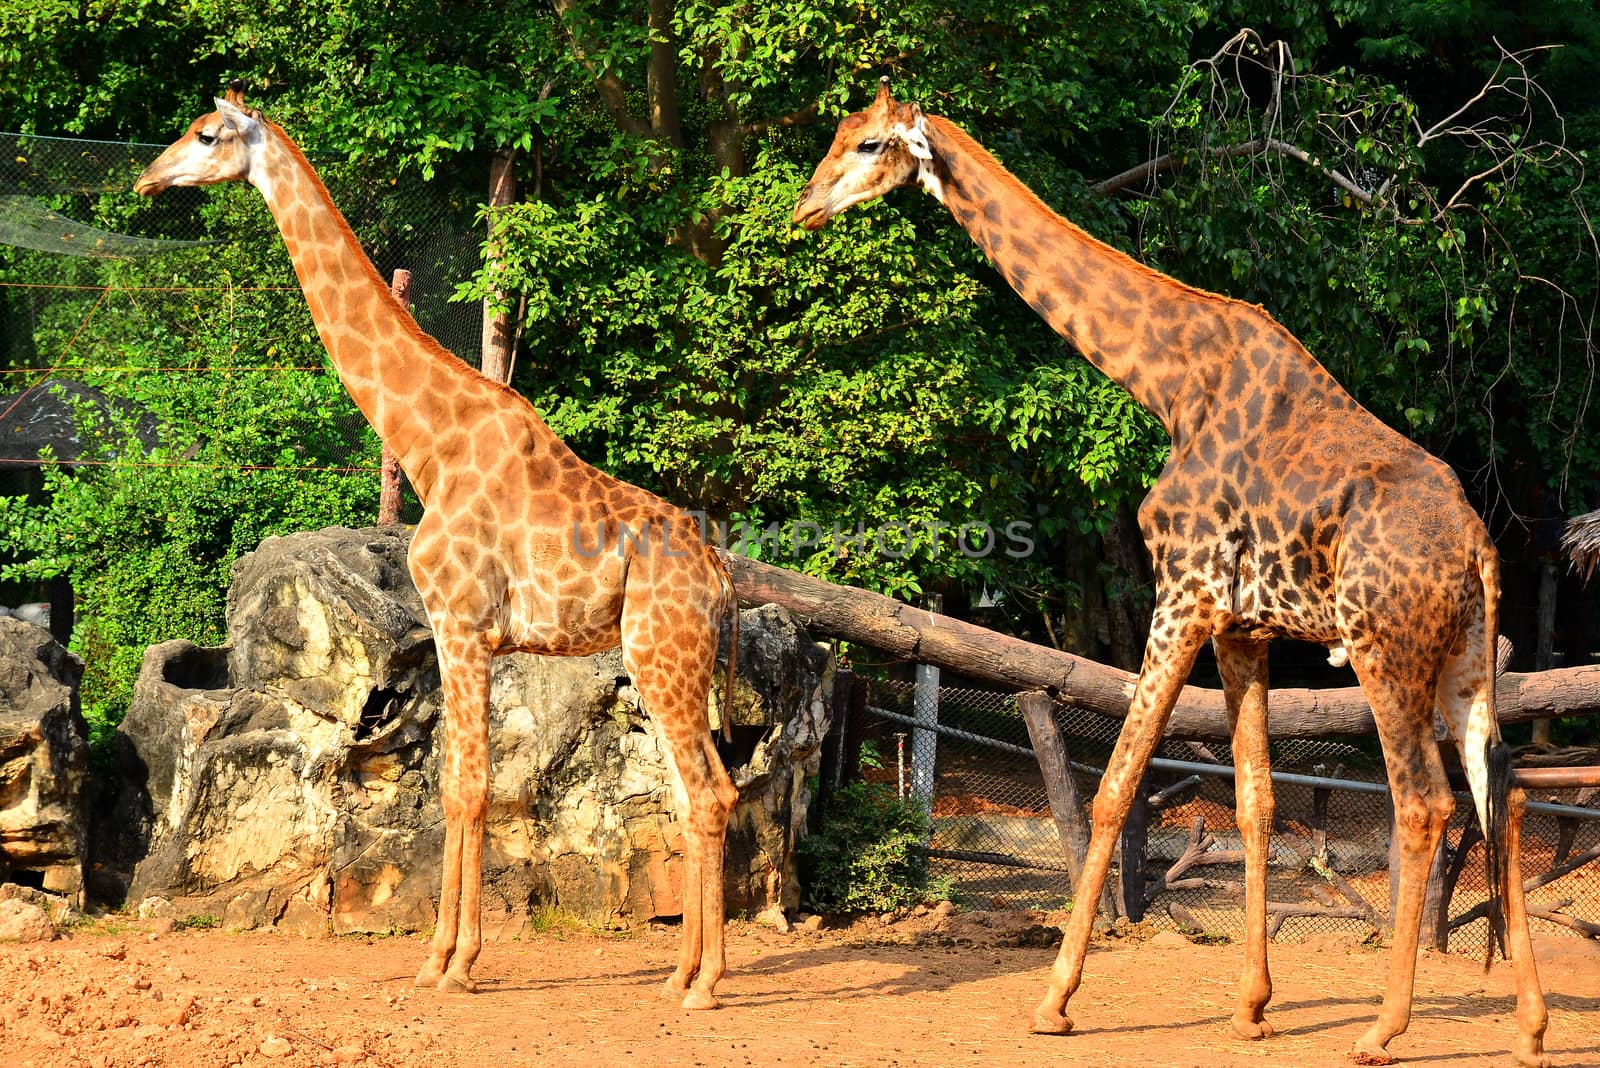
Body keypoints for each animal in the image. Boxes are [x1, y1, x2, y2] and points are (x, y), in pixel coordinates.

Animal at [134, 85, 739, 1010]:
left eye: (206, 136)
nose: (147, 178)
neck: (429, 443)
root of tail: (722, 578)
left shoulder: (461, 625)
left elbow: (467, 788)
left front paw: (449, 962)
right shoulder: (465, 634)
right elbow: (460, 782)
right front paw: (446, 955)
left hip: (663, 654)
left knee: (707, 796)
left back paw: (703, 986)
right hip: (669, 664)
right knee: (702, 790)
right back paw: (680, 971)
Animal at [800, 81, 1548, 1068]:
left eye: (869, 144)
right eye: (837, 133)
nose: (805, 205)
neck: (1167, 380)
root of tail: (1477, 546)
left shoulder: (1182, 595)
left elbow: (1115, 786)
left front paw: (1054, 999)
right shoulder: (1242, 628)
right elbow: (1256, 801)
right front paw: (1251, 1006)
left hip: (1386, 652)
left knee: (1422, 803)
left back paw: (1384, 1028)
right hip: (1465, 658)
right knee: (1506, 790)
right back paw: (1531, 1024)